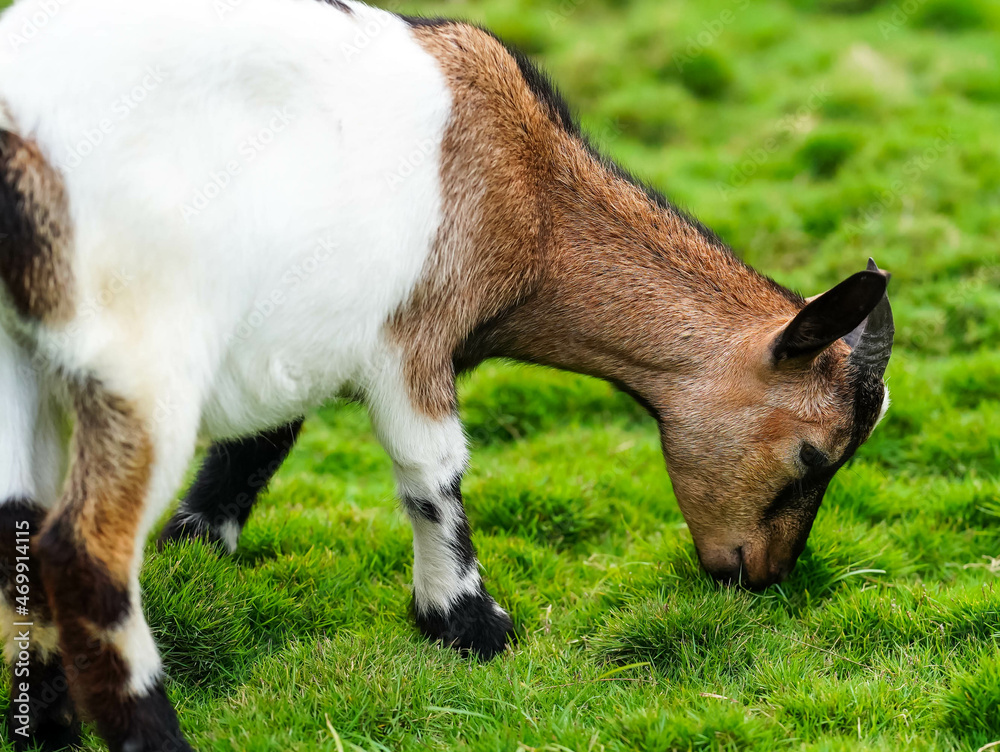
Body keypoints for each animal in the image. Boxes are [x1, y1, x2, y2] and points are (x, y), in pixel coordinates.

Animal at [0, 0, 894, 749]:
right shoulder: (413, 333)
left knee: (21, 522)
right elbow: (434, 472)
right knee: (82, 551)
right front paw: (468, 624)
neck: (533, 191)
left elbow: (263, 441)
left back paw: (48, 722)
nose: (760, 576)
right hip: (147, 354)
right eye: (813, 455)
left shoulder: (304, 326)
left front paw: (198, 542)